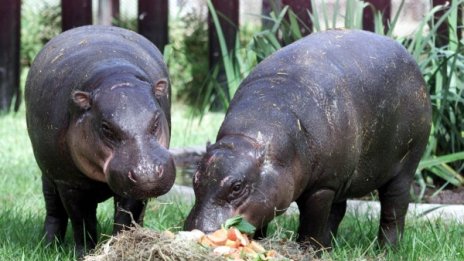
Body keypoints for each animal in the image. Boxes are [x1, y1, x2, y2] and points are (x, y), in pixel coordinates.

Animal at [26, 24, 177, 254]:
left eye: (156, 120)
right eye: (106, 127)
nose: (147, 173)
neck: (114, 76)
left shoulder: (131, 187)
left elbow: (126, 217)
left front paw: (121, 246)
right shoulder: (70, 183)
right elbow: (81, 221)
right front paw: (85, 254)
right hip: (49, 174)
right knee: (53, 209)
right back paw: (48, 247)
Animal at [185, 29, 432, 249]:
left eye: (237, 187)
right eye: (195, 179)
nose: (200, 230)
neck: (249, 137)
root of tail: (408, 56)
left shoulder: (322, 186)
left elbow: (312, 222)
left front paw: (306, 249)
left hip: (404, 166)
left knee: (394, 210)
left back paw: (385, 250)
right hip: (342, 176)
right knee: (338, 211)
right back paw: (328, 248)